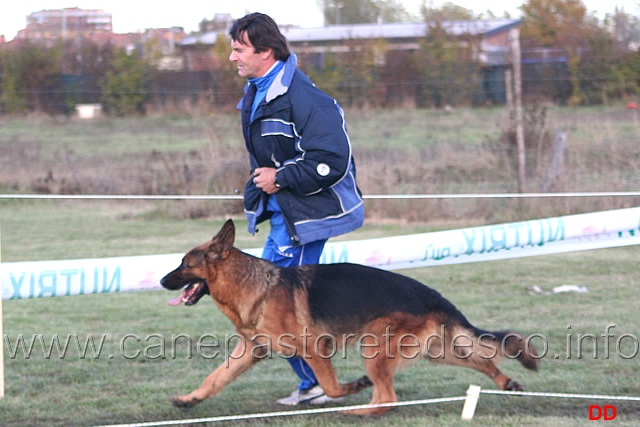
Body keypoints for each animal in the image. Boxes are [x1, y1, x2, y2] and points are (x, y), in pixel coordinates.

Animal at [159, 221, 536, 414]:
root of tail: (434, 295)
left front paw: (349, 388)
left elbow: (329, 385)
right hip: (434, 350)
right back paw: (506, 382)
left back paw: (357, 410)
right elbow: (214, 378)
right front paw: (189, 400)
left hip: (375, 348)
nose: (162, 281)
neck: (255, 285)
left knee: (388, 397)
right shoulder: (251, 350)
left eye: (184, 264)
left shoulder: (314, 349)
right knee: (482, 361)